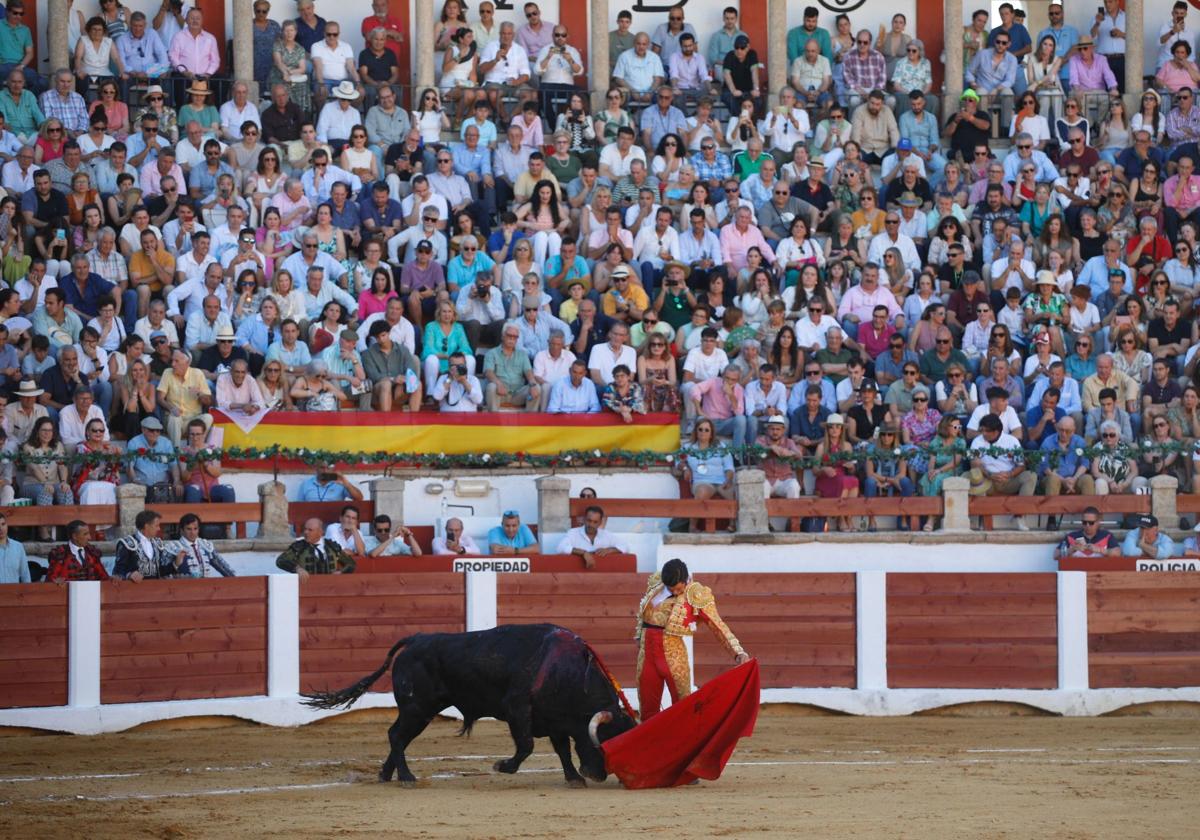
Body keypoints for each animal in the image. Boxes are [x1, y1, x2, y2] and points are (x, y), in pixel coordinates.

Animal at [300, 619, 638, 782]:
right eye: (602, 743)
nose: (598, 775)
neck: (565, 669)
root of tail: (416, 638)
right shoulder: (518, 710)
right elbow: (527, 746)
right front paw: (503, 766)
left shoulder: (555, 718)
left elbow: (562, 749)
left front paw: (573, 778)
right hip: (416, 708)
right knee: (396, 735)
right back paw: (406, 777)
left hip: (419, 710)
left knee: (398, 737)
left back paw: (386, 775)